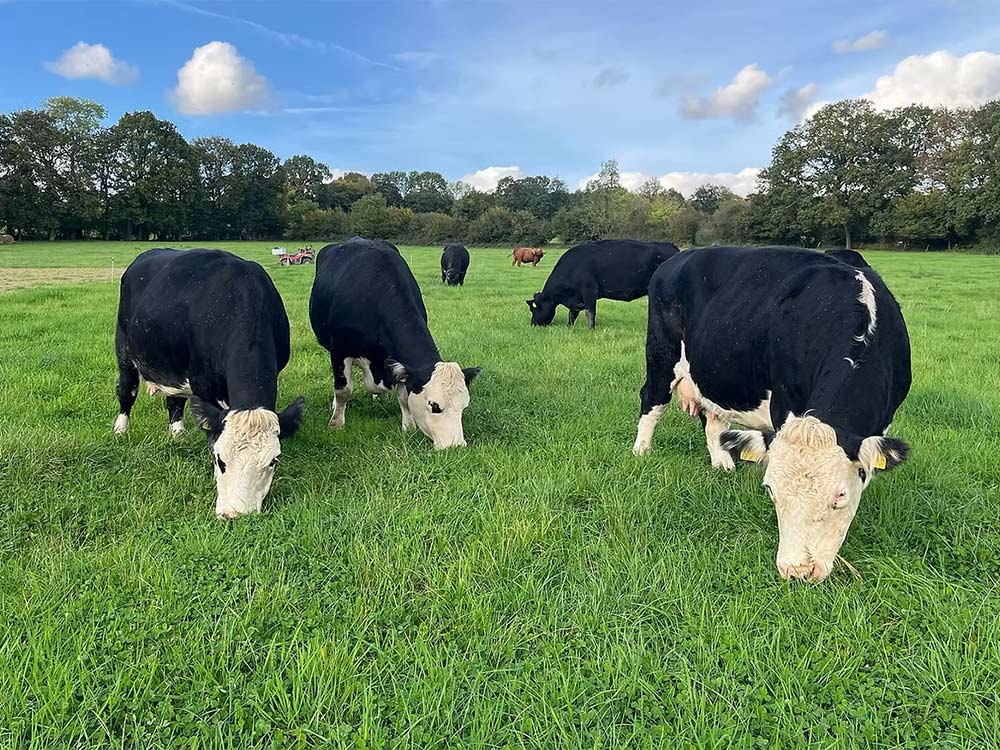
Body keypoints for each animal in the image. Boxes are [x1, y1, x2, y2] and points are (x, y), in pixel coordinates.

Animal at [113, 248, 305, 518]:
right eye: (220, 459)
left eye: (273, 461)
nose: (235, 514)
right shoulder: (202, 382)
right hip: (124, 348)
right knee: (126, 390)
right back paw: (121, 429)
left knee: (174, 401)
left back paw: (177, 434)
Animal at [309, 237, 481, 449]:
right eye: (434, 405)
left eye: (464, 406)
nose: (455, 445)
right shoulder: (339, 351)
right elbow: (343, 390)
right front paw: (336, 424)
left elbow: (404, 397)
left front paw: (408, 426)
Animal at [527, 239, 679, 329]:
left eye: (534, 308)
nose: (533, 324)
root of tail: (671, 246)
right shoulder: (576, 298)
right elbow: (572, 314)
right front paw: (569, 328)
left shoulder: (589, 290)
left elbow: (589, 312)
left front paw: (590, 330)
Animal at [631, 246, 911, 582]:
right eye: (770, 490)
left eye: (840, 496)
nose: (798, 571)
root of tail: (678, 258)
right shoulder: (784, 404)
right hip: (661, 356)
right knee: (651, 399)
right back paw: (642, 451)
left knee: (714, 423)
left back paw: (722, 464)